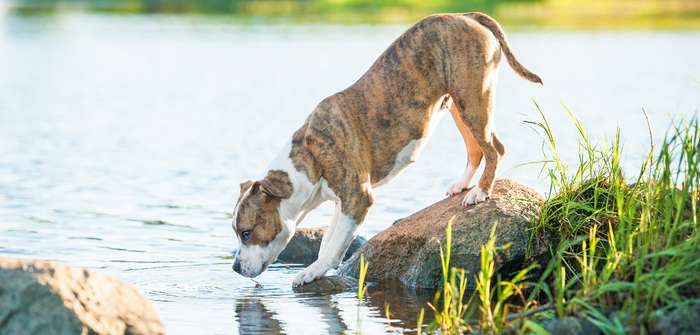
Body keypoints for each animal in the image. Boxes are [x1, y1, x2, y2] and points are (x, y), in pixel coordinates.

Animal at [230, 12, 540, 286]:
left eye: (246, 233)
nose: (234, 267)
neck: (309, 157)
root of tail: (467, 15)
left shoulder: (358, 198)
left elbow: (332, 247)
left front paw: (311, 272)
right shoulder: (343, 203)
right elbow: (329, 240)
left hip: (472, 98)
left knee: (495, 148)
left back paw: (480, 192)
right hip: (457, 105)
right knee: (476, 149)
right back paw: (463, 185)